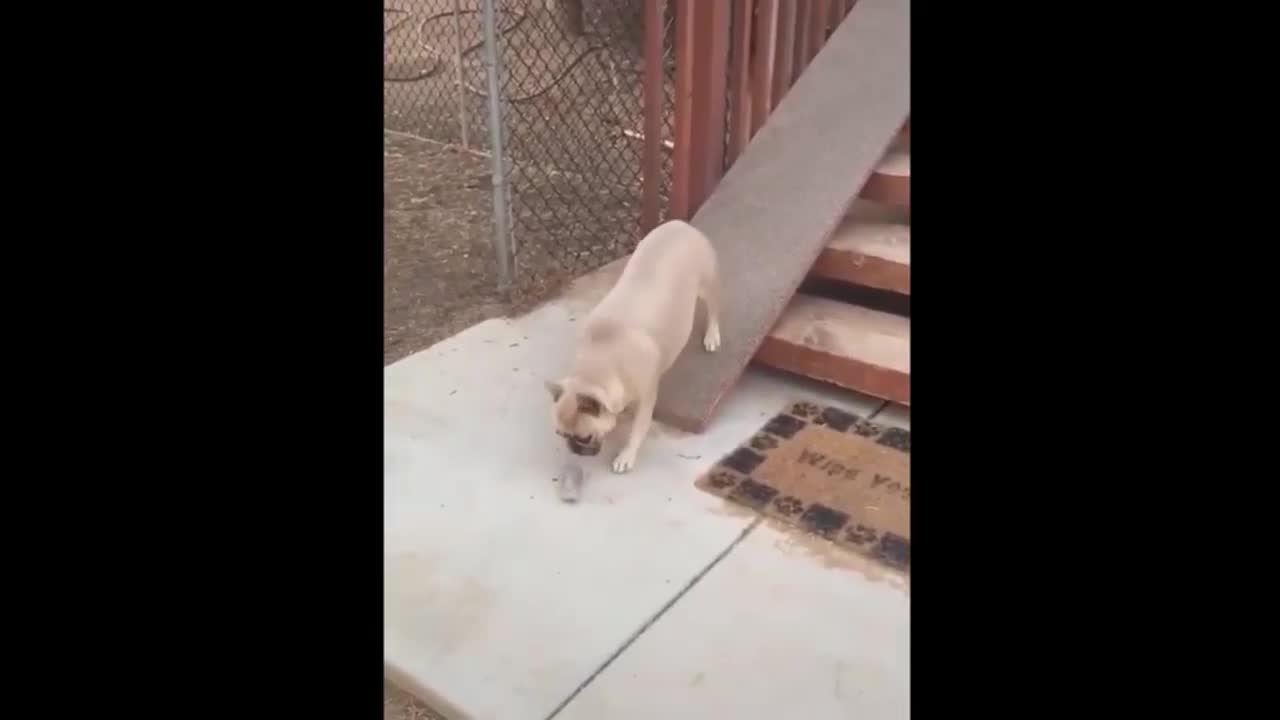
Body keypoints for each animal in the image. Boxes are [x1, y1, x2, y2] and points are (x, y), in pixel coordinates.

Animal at [542, 221, 716, 474]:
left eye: (585, 437)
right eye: (561, 434)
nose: (574, 449)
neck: (600, 361)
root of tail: (681, 225)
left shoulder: (646, 399)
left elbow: (638, 430)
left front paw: (626, 455)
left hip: (707, 284)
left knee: (714, 309)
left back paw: (712, 335)